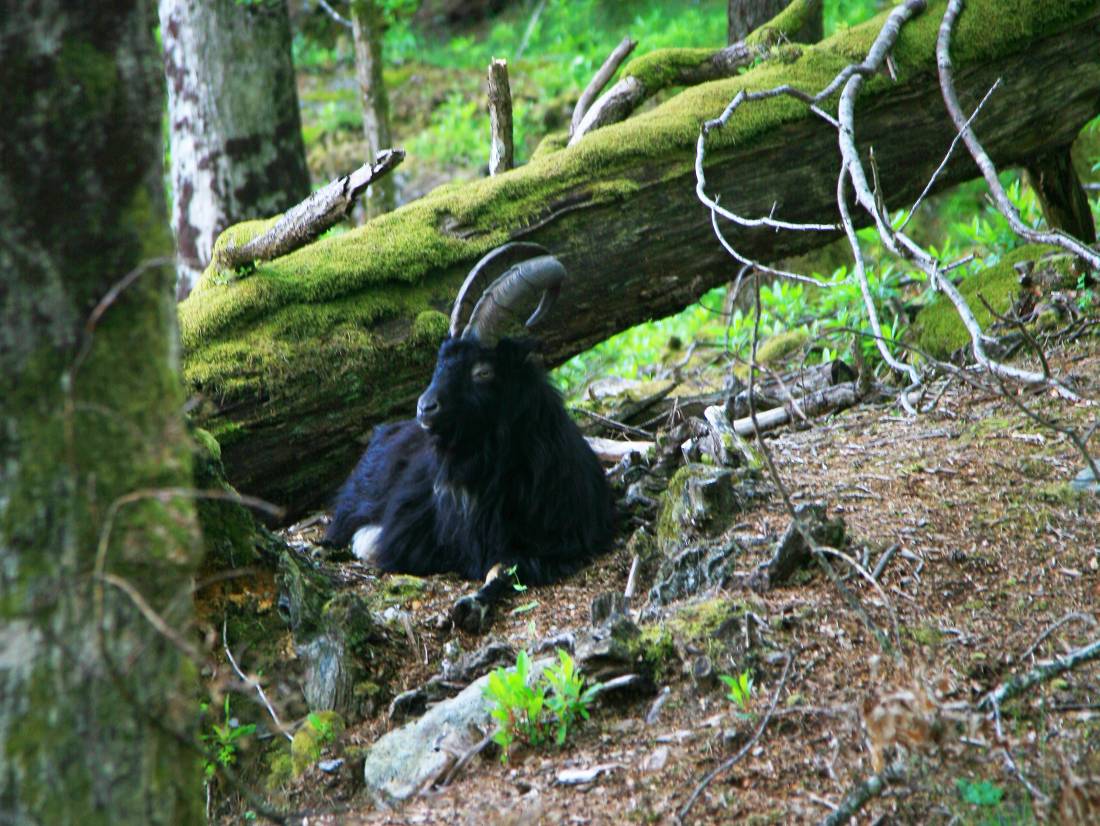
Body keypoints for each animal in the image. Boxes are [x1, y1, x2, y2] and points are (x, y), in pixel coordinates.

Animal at [323, 241, 620, 629]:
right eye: (439, 363)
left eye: (483, 371)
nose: (425, 408)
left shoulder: (561, 542)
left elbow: (506, 569)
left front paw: (472, 606)